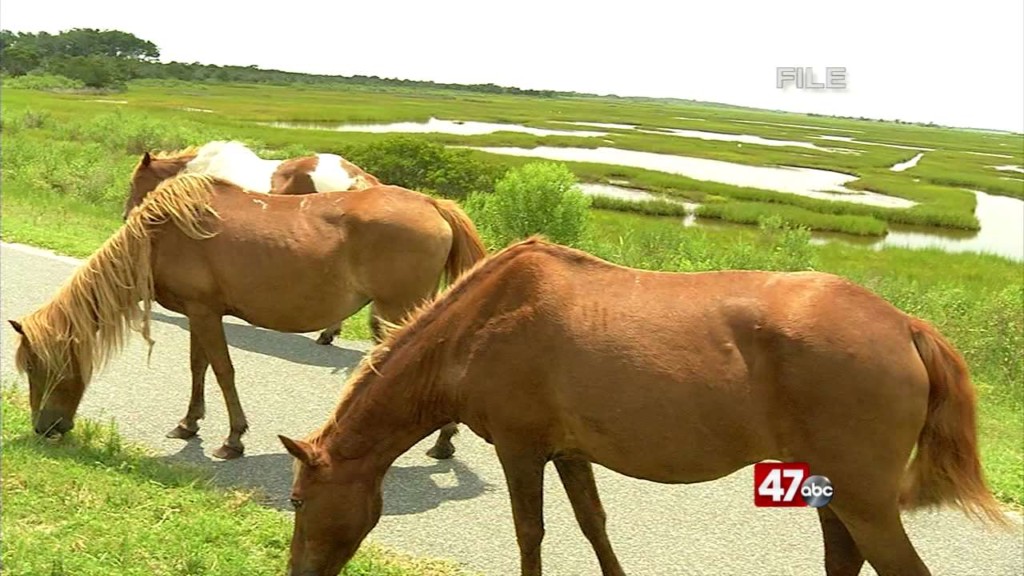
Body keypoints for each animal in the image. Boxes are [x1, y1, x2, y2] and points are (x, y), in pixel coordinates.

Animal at [9, 172, 483, 459]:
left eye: (36, 366)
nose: (44, 428)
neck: (161, 237)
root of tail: (432, 205)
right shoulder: (199, 313)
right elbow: (198, 366)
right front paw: (188, 424)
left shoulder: (205, 312)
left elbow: (222, 370)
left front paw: (233, 438)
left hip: (399, 310)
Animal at [276, 234, 1011, 573]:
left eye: (297, 501)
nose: (298, 573)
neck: (480, 324)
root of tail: (904, 325)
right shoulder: (568, 452)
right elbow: (594, 524)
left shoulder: (520, 450)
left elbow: (530, 533)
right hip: (835, 493)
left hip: (864, 499)